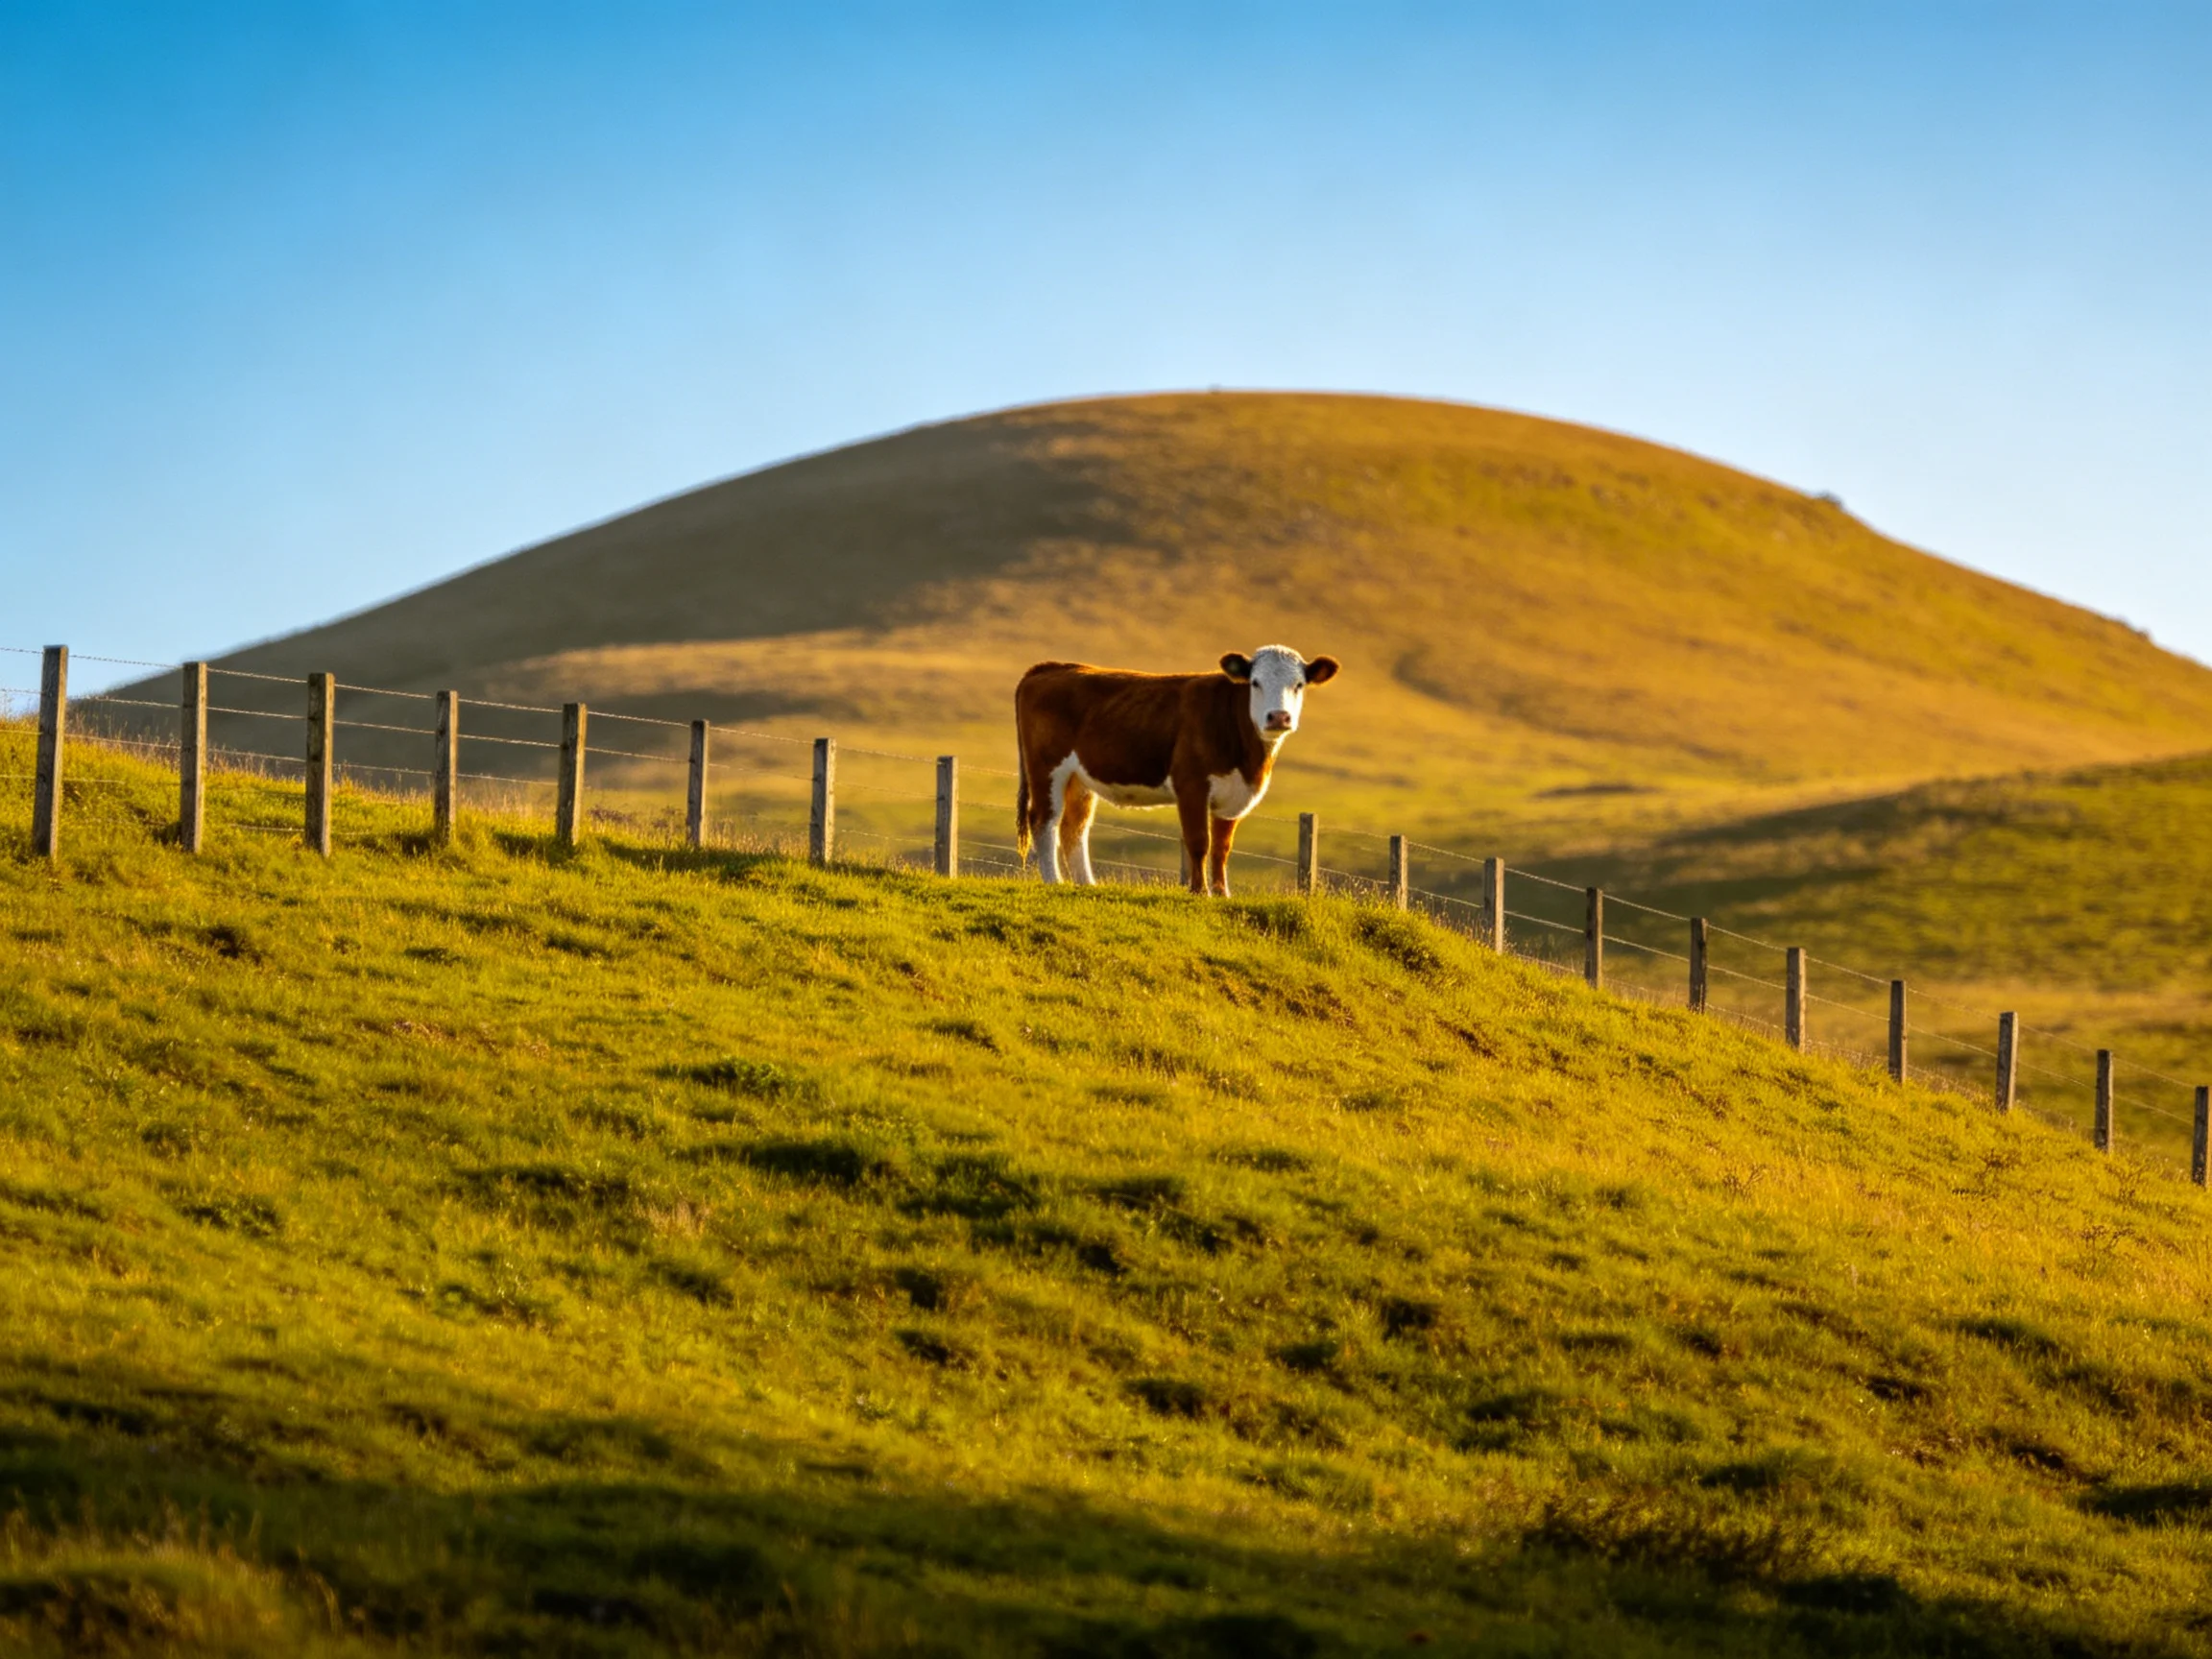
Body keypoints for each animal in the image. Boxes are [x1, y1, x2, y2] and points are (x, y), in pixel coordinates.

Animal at [1014, 645, 1341, 897]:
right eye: (1255, 683)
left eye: (1298, 684)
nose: (1278, 717)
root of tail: (1052, 668)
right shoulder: (1191, 785)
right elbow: (1198, 842)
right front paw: (1199, 891)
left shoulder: (1234, 794)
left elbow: (1222, 847)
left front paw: (1222, 893)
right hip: (1047, 768)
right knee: (1044, 820)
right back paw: (1053, 881)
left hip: (1079, 778)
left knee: (1075, 827)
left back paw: (1086, 884)